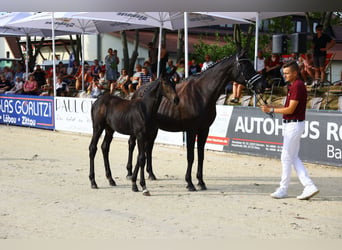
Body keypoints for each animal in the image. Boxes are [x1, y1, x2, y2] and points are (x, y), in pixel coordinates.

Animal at [125, 50, 268, 191]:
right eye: (244, 66)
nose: (262, 85)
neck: (201, 93)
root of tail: (138, 91)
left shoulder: (204, 130)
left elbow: (201, 155)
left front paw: (201, 182)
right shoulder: (191, 130)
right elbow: (191, 156)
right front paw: (190, 183)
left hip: (153, 129)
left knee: (149, 148)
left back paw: (151, 174)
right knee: (132, 145)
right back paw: (129, 173)